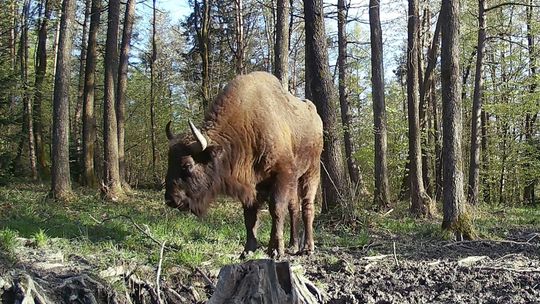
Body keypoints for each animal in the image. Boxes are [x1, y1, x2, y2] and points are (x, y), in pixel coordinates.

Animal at [165, 71, 322, 256]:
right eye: (169, 161)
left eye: (188, 165)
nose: (171, 199)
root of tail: (316, 116)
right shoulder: (250, 185)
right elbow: (250, 217)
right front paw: (248, 250)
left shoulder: (282, 176)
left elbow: (276, 210)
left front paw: (276, 249)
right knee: (294, 208)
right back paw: (293, 245)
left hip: (311, 172)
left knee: (307, 207)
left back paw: (308, 247)